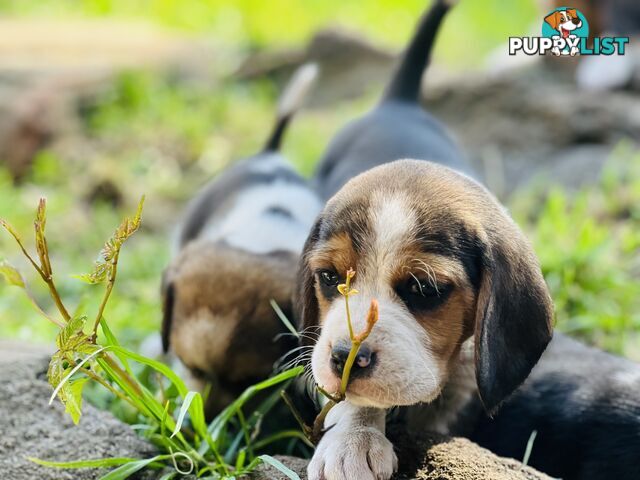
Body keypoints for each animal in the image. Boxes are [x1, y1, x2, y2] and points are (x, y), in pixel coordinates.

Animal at [298, 0, 640, 480]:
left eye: (424, 289)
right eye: (328, 278)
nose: (346, 357)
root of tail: (399, 102)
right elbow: (359, 399)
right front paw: (355, 439)